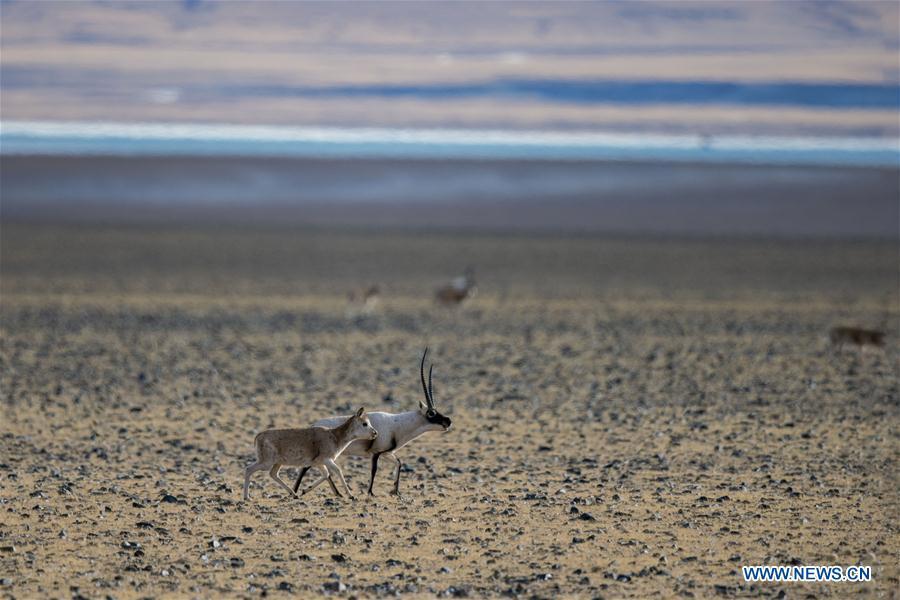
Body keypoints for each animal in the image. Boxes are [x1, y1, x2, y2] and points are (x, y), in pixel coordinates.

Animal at [243, 407, 378, 502]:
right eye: (365, 423)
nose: (375, 433)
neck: (335, 436)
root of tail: (258, 436)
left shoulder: (319, 463)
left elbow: (326, 474)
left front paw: (303, 491)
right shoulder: (327, 460)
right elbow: (338, 471)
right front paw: (351, 496)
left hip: (277, 463)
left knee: (273, 474)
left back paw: (294, 494)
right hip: (266, 462)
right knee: (249, 469)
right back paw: (247, 497)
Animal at [293, 348, 452, 497]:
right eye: (431, 413)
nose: (448, 421)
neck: (398, 424)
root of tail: (313, 426)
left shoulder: (387, 453)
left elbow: (399, 463)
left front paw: (395, 491)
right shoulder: (376, 453)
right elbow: (374, 470)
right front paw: (370, 492)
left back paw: (319, 491)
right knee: (306, 468)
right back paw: (297, 491)